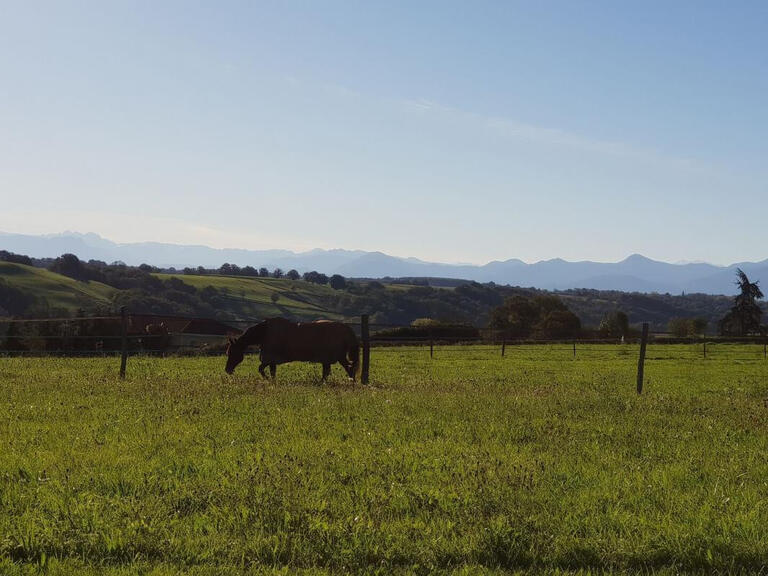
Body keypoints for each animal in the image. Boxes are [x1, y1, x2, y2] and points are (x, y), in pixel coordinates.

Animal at [225, 318, 360, 380]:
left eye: (232, 353)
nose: (227, 370)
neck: (264, 333)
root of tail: (346, 329)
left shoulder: (269, 359)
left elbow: (261, 369)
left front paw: (267, 379)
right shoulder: (272, 360)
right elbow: (272, 372)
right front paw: (272, 381)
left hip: (335, 357)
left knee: (348, 368)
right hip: (333, 358)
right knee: (339, 369)